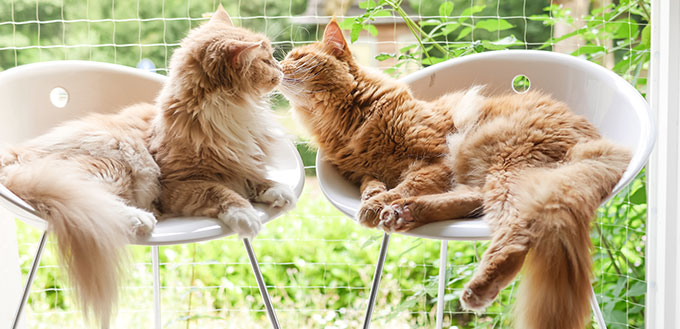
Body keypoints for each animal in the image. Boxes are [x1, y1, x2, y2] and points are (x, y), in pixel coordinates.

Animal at [278, 19, 628, 328]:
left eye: (297, 58)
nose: (277, 67)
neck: (347, 121)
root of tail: (594, 141)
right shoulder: (365, 170)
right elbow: (372, 184)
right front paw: (375, 199)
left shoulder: (433, 159)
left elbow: (405, 184)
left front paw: (378, 203)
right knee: (476, 201)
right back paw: (404, 214)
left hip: (501, 164)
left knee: (517, 230)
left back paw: (478, 283)